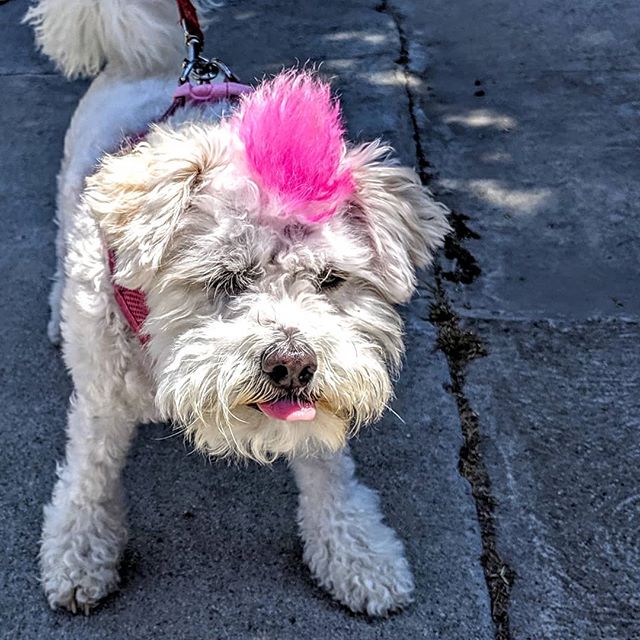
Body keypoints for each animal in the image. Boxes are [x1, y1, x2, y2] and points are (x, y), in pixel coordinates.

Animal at [25, 0, 450, 620]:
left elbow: (331, 478)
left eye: (331, 279)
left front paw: (359, 555)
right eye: (224, 278)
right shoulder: (103, 396)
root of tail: (150, 61)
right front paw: (79, 554)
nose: (292, 365)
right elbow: (90, 475)